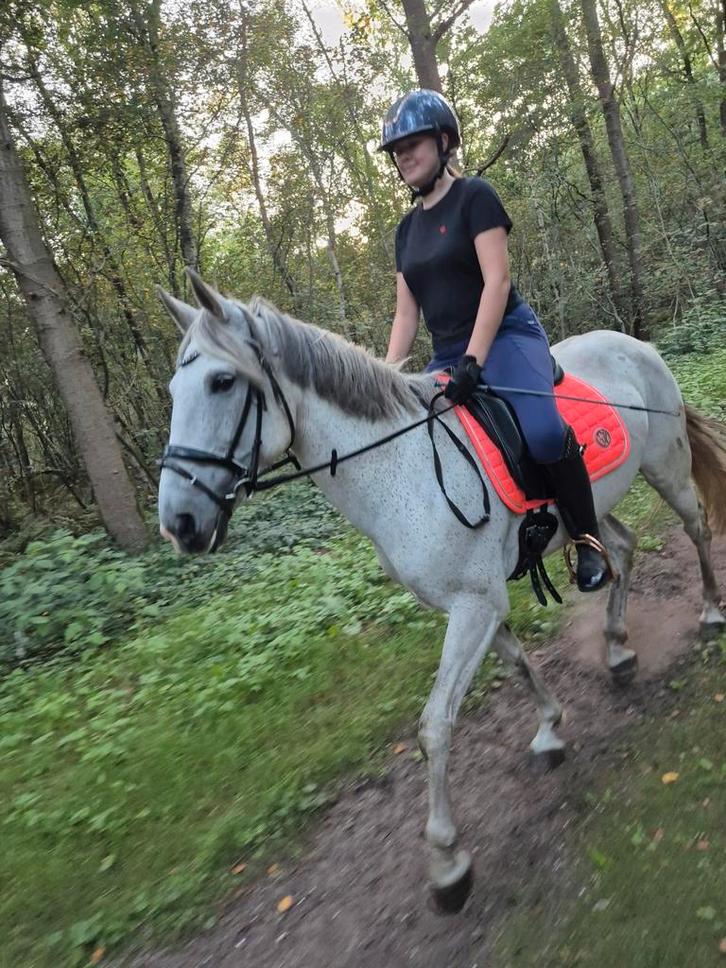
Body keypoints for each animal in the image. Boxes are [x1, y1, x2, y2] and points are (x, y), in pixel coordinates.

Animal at [156, 270, 726, 912]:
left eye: (223, 381)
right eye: (175, 390)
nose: (178, 523)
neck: (402, 468)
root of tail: (635, 344)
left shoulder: (475, 603)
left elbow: (434, 726)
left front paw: (447, 860)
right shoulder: (473, 602)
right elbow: (516, 662)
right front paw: (550, 729)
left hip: (665, 466)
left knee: (696, 529)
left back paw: (709, 613)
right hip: (589, 514)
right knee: (621, 552)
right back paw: (618, 647)